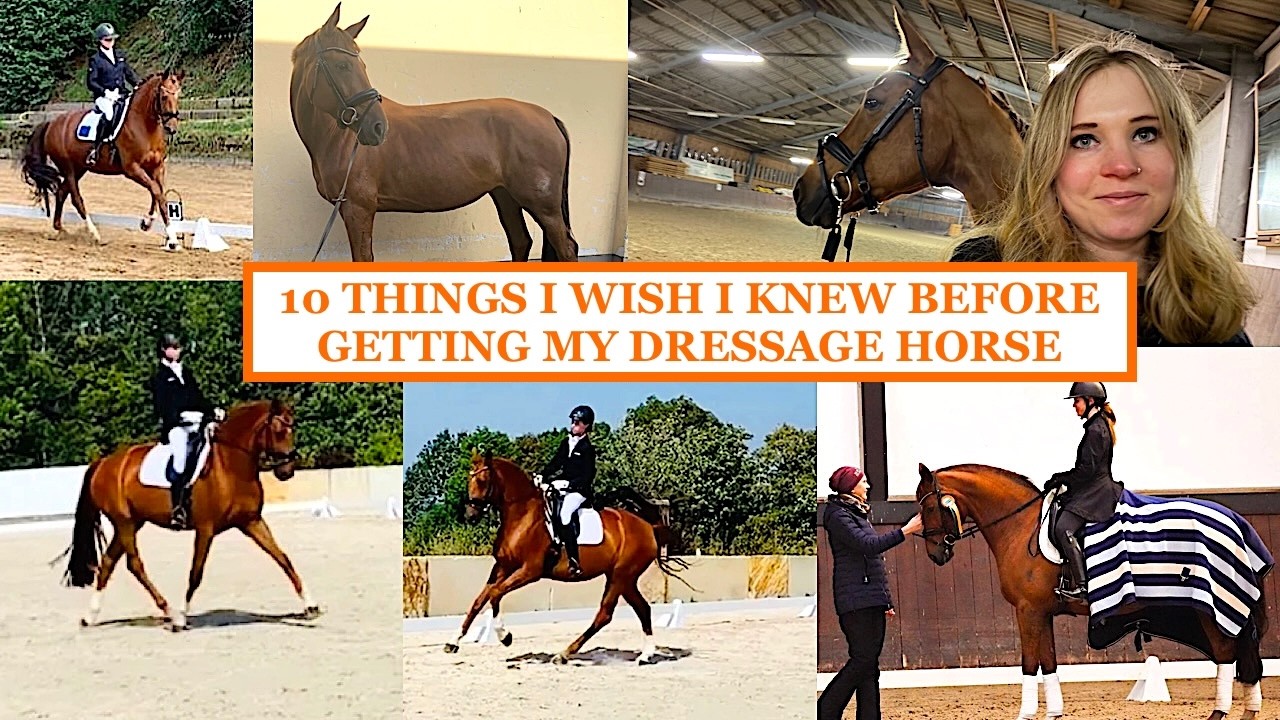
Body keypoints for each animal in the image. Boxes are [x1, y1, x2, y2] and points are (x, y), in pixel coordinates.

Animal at [21, 71, 184, 248]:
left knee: (62, 192)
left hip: (80, 168)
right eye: (163, 96)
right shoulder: (132, 169)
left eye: (178, 96)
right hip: (68, 168)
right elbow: (156, 191)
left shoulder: (157, 167)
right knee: (76, 198)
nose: (172, 128)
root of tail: (52, 123)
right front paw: (164, 234)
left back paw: (60, 229)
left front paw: (156, 228)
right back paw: (94, 234)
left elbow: (160, 195)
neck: (145, 126)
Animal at [59, 399, 321, 631]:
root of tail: (103, 463)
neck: (230, 466)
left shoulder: (251, 521)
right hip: (124, 522)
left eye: (292, 428)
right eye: (278, 431)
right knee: (134, 565)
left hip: (133, 522)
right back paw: (170, 613)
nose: (286, 471)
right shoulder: (205, 529)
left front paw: (311, 607)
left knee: (108, 562)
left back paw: (90, 616)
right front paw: (183, 618)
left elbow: (283, 558)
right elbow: (196, 573)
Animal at [290, 4, 579, 263]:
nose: (377, 127)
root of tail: (549, 117)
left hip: (544, 205)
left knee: (566, 249)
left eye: (359, 65)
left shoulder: (357, 208)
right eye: (341, 65)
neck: (338, 139)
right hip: (505, 195)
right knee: (520, 242)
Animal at [444, 450, 689, 664]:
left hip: (621, 576)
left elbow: (495, 594)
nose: (470, 515)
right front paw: (453, 642)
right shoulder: (503, 567)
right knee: (642, 609)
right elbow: (479, 601)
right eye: (469, 480)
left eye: (483, 480)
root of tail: (649, 528)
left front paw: (505, 636)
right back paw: (645, 656)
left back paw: (564, 654)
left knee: (605, 614)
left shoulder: (529, 571)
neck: (522, 515)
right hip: (624, 579)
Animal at [915, 463, 1269, 720]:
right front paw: (1054, 714)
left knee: (1226, 653)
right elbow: (1049, 662)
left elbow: (1030, 663)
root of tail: (1235, 521)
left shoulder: (1027, 610)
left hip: (1209, 607)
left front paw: (1026, 714)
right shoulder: (1042, 613)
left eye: (928, 507)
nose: (935, 553)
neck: (1021, 526)